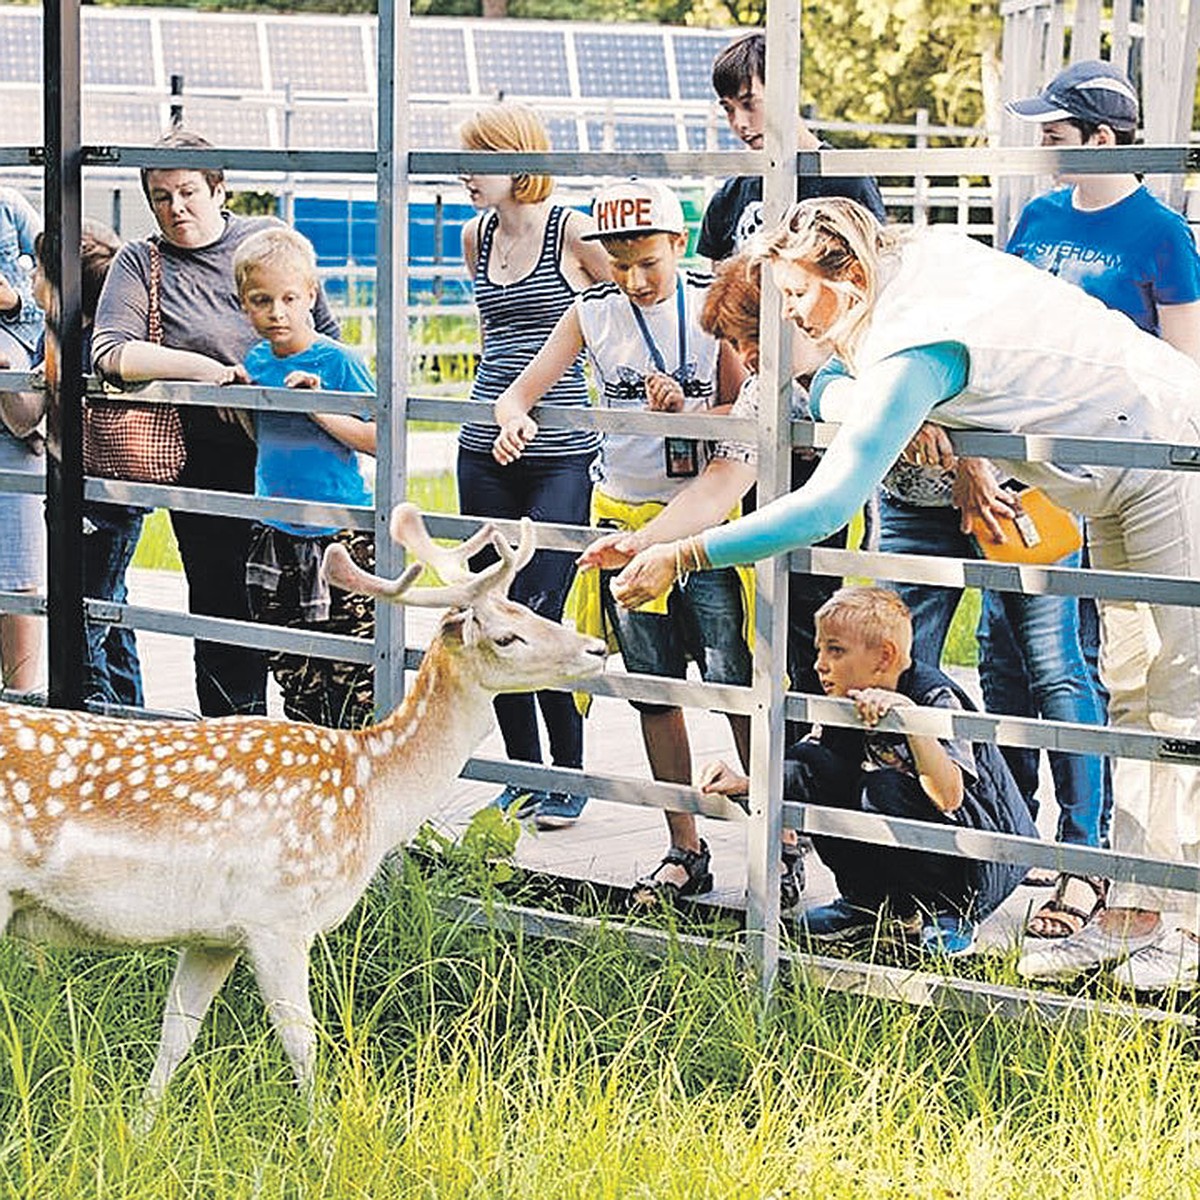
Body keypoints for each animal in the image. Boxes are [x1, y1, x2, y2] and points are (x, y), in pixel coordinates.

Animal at [0, 504, 604, 1113]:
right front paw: (322, 1128)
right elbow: (302, 1041)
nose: (596, 649)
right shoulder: (279, 916)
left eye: (531, 609)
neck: (373, 794)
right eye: (507, 636)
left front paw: (145, 1124)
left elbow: (176, 1034)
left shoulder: (214, 935)